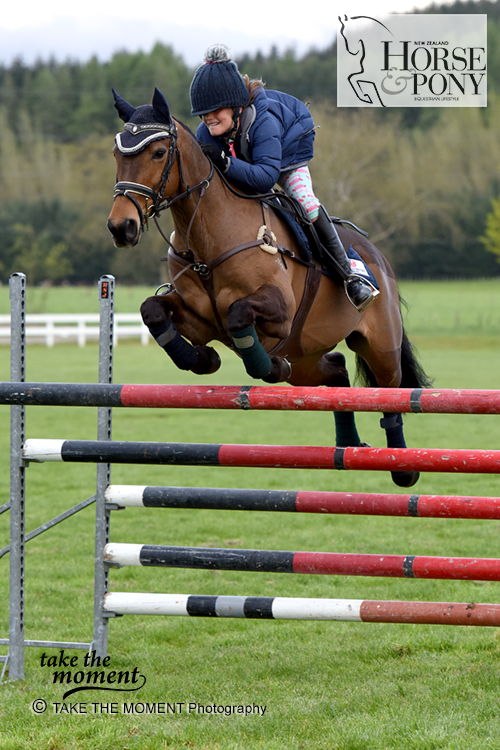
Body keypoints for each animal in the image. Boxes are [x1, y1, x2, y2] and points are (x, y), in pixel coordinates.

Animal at [107, 89, 428, 488]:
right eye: (116, 153)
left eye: (158, 152)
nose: (121, 227)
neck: (208, 237)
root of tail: (378, 257)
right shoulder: (199, 320)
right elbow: (152, 310)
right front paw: (202, 359)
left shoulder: (279, 310)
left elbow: (238, 312)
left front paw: (263, 364)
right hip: (305, 356)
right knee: (336, 372)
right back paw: (348, 443)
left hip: (380, 346)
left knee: (391, 395)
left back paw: (403, 467)